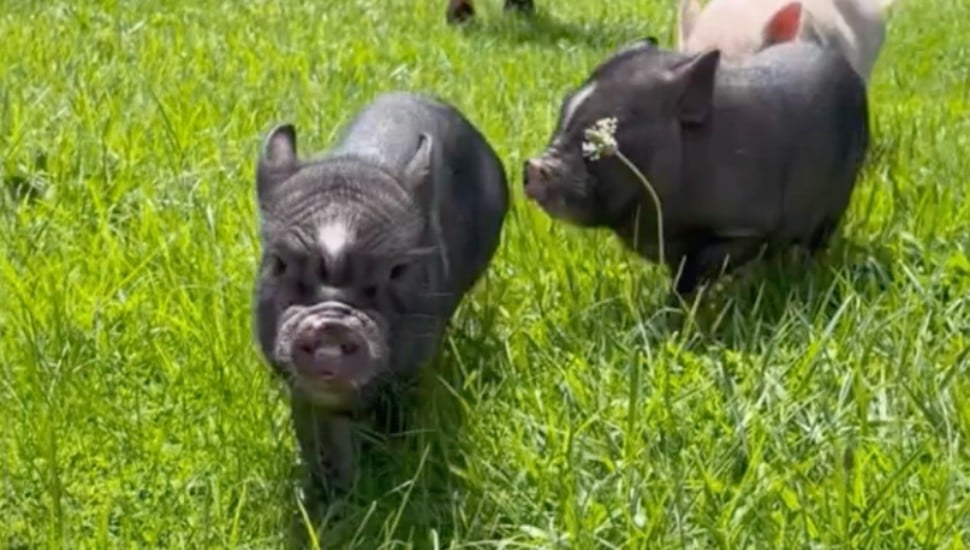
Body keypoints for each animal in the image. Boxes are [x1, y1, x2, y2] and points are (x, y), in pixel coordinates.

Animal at [252, 91, 509, 499]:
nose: (331, 324)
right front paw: (332, 498)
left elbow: (401, 417)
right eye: (278, 263)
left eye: (397, 270)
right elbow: (320, 437)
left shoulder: (413, 366)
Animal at [522, 37, 870, 296]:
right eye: (564, 111)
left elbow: (697, 268)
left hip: (839, 200)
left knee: (816, 243)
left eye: (607, 131)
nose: (533, 165)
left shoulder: (749, 226)